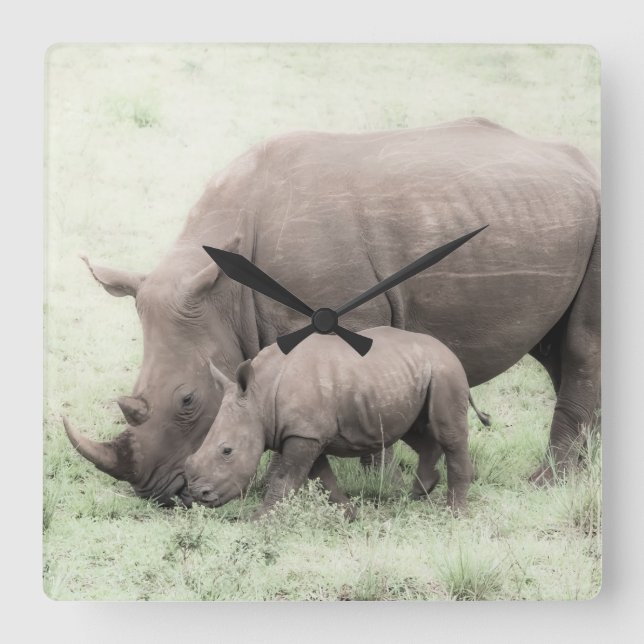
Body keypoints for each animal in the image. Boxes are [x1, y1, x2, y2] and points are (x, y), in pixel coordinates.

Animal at [185, 327, 474, 515]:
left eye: (227, 451)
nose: (200, 495)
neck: (260, 396)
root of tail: (448, 349)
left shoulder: (304, 434)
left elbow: (285, 480)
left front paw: (260, 522)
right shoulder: (307, 433)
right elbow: (322, 478)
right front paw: (350, 515)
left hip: (445, 370)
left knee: (448, 434)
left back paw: (454, 513)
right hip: (412, 373)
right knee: (415, 429)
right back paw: (419, 492)